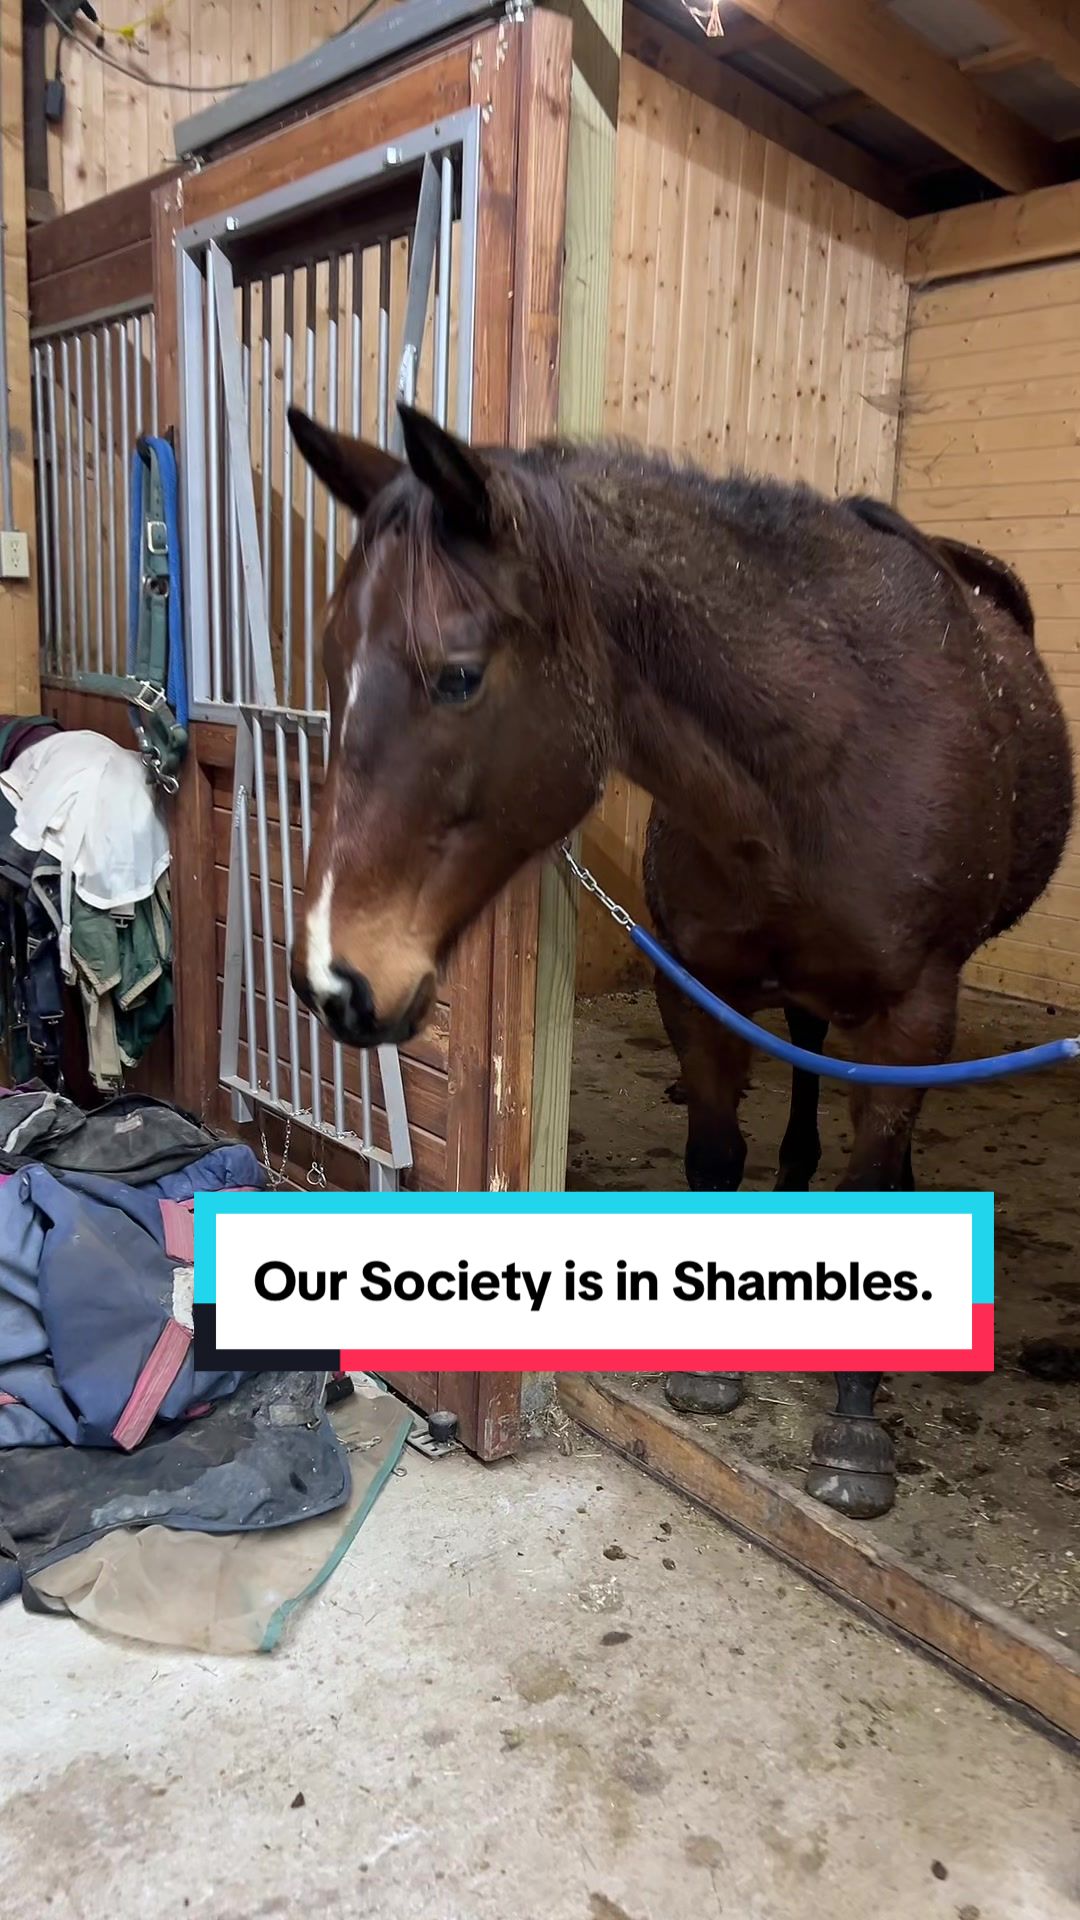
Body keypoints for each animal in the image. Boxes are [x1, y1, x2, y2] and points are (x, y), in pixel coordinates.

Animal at [287, 403, 1074, 1519]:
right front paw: (709, 1366)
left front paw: (854, 1430)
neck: (821, 758)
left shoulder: (915, 1005)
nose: (332, 978)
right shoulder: (697, 986)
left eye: (459, 676)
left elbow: (871, 1178)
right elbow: (715, 1158)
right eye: (331, 660)